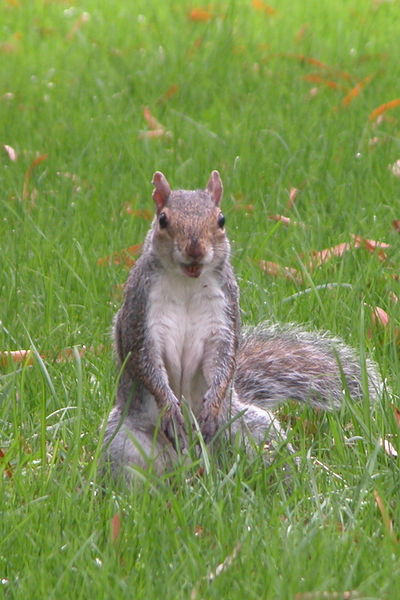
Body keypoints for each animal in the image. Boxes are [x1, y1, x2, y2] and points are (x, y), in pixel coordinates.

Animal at [101, 170, 382, 482]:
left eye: (221, 220)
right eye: (162, 219)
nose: (195, 249)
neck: (187, 282)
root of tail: (194, 465)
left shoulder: (223, 317)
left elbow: (224, 361)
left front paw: (211, 406)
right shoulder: (139, 316)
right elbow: (145, 361)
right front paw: (171, 409)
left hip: (254, 431)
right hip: (124, 443)